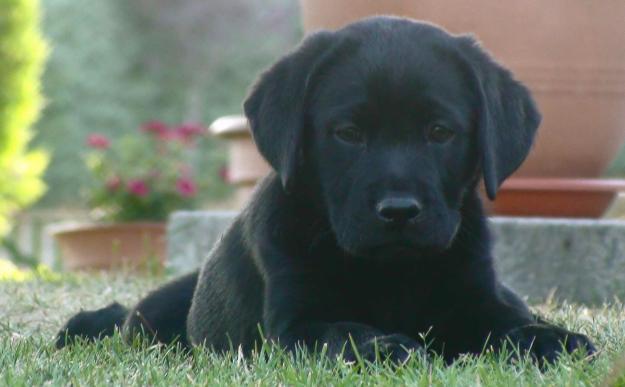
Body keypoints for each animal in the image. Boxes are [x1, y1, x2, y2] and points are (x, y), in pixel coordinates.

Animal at [54, 16, 596, 366]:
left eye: (440, 132)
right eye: (348, 133)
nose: (399, 212)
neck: (391, 273)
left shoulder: (475, 299)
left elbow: (505, 327)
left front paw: (548, 341)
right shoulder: (297, 325)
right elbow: (343, 332)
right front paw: (385, 346)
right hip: (148, 321)